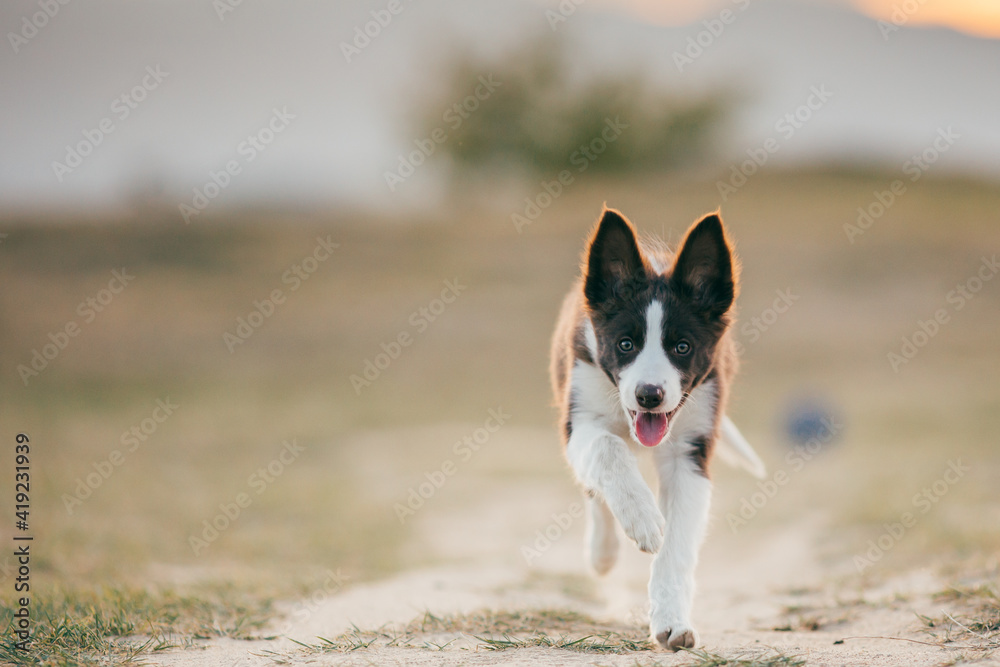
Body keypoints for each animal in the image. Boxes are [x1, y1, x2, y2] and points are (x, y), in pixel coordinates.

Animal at [552, 206, 760, 648]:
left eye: (682, 347)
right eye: (625, 344)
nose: (649, 395)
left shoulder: (690, 454)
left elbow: (677, 547)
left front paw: (672, 622)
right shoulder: (578, 422)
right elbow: (607, 451)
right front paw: (642, 519)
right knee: (595, 487)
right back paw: (602, 553)